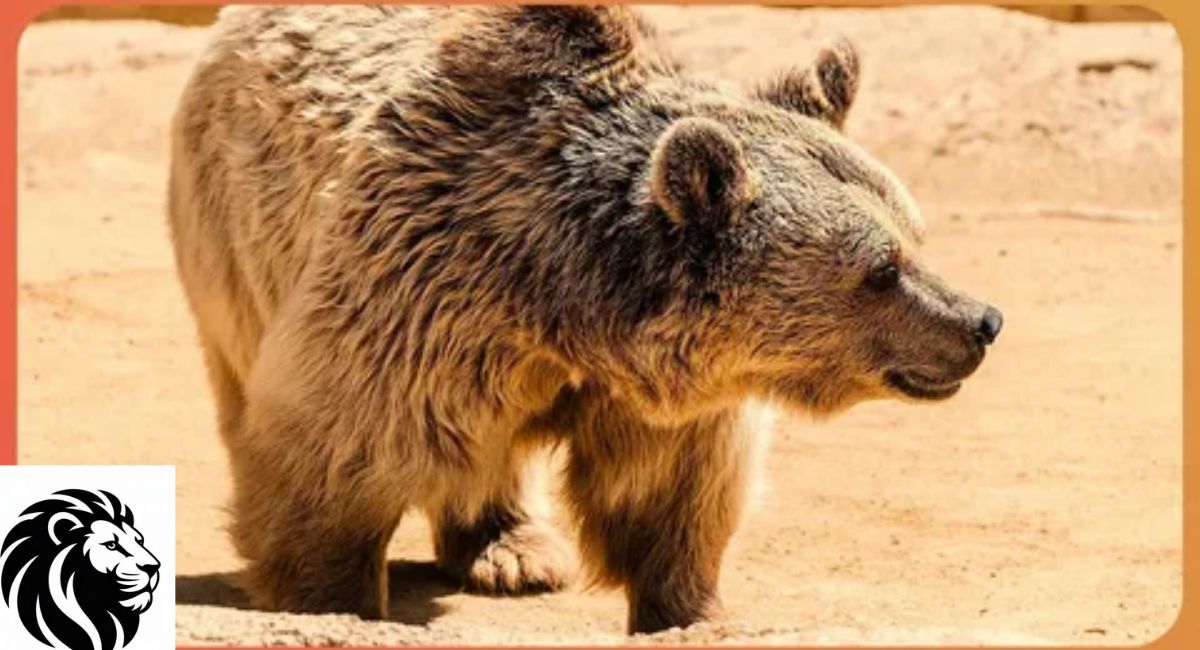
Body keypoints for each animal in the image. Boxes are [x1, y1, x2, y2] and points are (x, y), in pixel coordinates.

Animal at [167, 5, 1002, 634]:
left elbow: (675, 497)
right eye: (880, 269)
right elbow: (338, 456)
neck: (568, 307)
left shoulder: (660, 402)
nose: (981, 321)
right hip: (234, 242)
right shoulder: (414, 296)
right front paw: (330, 599)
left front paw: (690, 611)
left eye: (914, 234)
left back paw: (513, 549)